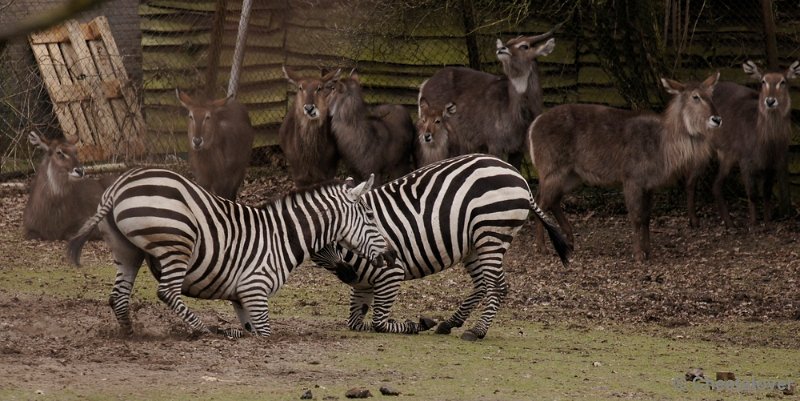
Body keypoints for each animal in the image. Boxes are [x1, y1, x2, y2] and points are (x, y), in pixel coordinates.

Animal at [68, 167, 390, 336]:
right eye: (370, 216)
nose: (390, 257)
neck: (281, 237)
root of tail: (120, 184)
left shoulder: (240, 297)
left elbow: (253, 331)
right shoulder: (255, 289)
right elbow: (265, 333)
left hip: (128, 252)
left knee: (119, 297)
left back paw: (131, 335)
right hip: (178, 242)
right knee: (167, 291)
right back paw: (203, 330)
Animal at [310, 153, 568, 340]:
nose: (348, 275)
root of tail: (517, 175)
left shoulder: (392, 274)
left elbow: (378, 323)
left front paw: (414, 324)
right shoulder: (364, 285)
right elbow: (355, 323)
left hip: (491, 234)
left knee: (497, 286)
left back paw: (476, 331)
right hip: (474, 246)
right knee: (483, 285)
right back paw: (450, 323)